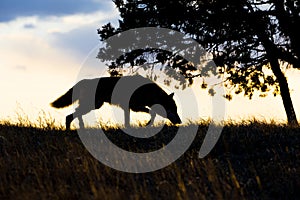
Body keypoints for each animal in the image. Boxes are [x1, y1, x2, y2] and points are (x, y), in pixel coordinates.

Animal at [50, 75, 182, 130]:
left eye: (176, 109)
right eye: (172, 109)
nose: (180, 122)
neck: (148, 92)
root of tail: (83, 81)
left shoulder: (128, 108)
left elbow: (127, 121)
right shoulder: (134, 106)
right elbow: (153, 113)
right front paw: (147, 124)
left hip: (94, 105)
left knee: (74, 114)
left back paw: (81, 127)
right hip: (93, 105)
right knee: (69, 116)